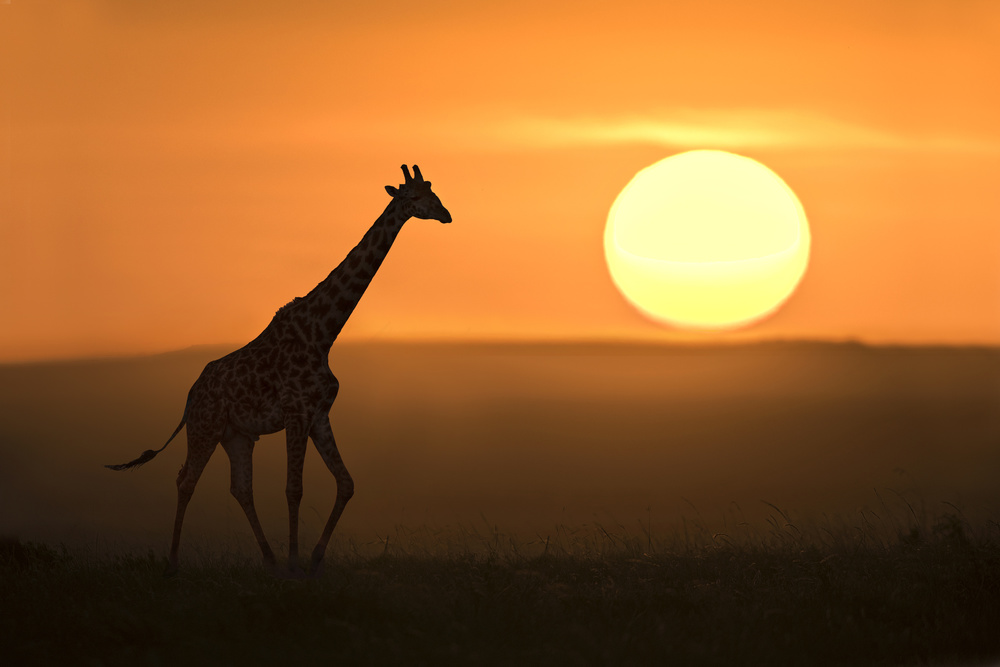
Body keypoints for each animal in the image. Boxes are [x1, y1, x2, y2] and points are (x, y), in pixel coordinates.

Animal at [107, 164, 451, 574]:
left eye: (434, 192)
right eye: (412, 198)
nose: (446, 215)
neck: (323, 332)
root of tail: (190, 395)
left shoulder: (319, 414)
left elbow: (346, 483)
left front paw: (314, 558)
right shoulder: (296, 412)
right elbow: (294, 489)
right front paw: (295, 561)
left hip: (236, 434)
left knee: (240, 488)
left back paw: (268, 559)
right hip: (205, 427)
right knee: (186, 479)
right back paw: (174, 562)